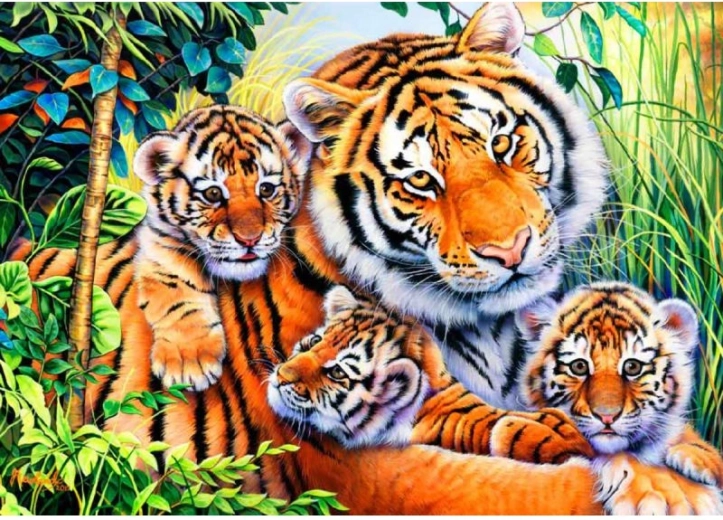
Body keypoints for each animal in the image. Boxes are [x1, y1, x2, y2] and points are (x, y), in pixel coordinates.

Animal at [131, 105, 309, 391]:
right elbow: (176, 293)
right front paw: (188, 361)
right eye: (213, 194)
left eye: (266, 189)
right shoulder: (161, 245)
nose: (249, 239)